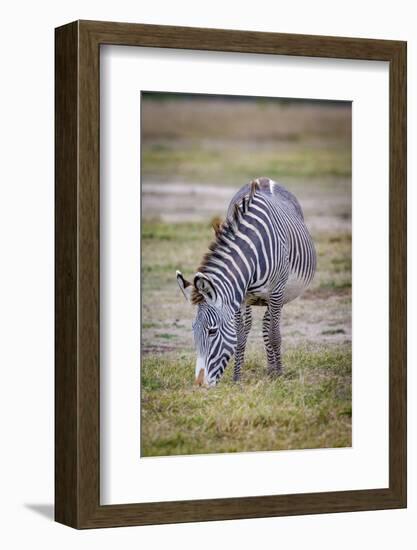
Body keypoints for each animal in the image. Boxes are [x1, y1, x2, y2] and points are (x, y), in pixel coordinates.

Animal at [176, 177, 316, 388]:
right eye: (193, 330)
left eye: (212, 331)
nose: (200, 384)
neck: (251, 252)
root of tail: (264, 180)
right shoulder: (239, 298)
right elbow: (240, 337)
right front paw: (237, 378)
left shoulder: (276, 292)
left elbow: (275, 336)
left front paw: (280, 375)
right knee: (261, 325)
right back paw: (269, 369)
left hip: (280, 295)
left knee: (269, 327)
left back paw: (274, 370)